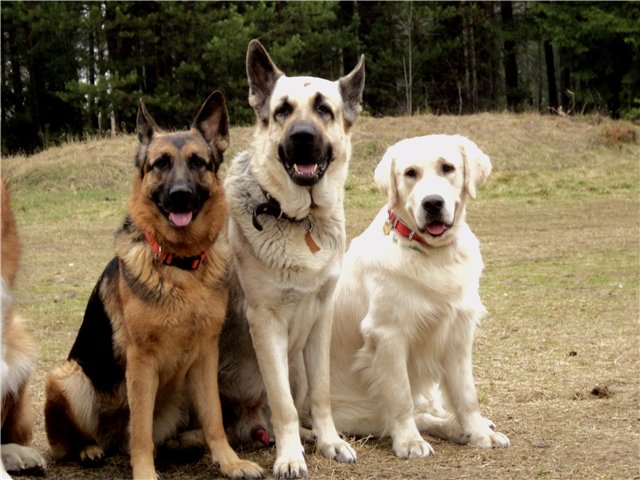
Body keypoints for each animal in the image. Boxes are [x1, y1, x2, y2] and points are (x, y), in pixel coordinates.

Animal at [43, 91, 262, 480]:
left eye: (198, 162)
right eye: (160, 163)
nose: (180, 195)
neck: (180, 266)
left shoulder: (206, 356)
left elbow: (214, 419)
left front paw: (230, 461)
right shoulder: (141, 364)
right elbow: (141, 432)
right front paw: (145, 473)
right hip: (68, 377)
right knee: (77, 441)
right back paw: (89, 448)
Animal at [218, 39, 364, 478]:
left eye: (324, 109)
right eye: (282, 110)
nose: (301, 136)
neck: (300, 220)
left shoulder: (321, 318)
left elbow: (321, 392)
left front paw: (331, 441)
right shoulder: (265, 324)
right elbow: (282, 404)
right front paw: (289, 457)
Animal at [330, 136, 510, 462]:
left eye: (447, 167)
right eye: (410, 173)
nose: (433, 203)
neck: (433, 254)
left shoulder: (458, 330)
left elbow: (466, 393)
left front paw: (478, 432)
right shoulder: (388, 335)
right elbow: (400, 398)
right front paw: (409, 442)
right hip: (353, 413)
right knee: (402, 415)